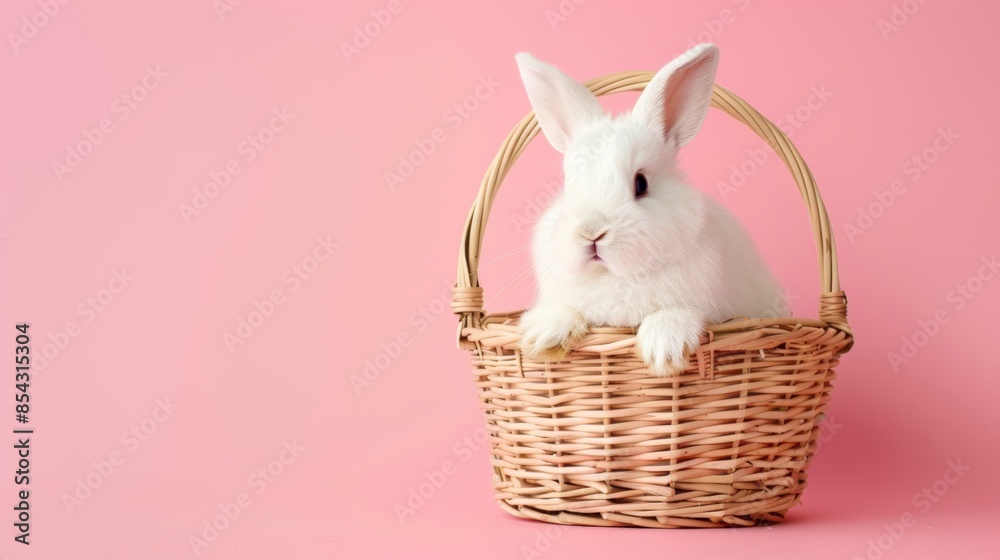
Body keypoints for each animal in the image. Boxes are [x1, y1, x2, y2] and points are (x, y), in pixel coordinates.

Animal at [515, 43, 788, 376]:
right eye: (568, 184)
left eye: (641, 183)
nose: (591, 232)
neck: (616, 278)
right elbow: (566, 309)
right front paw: (542, 336)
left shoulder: (703, 306)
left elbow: (676, 313)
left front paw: (663, 350)